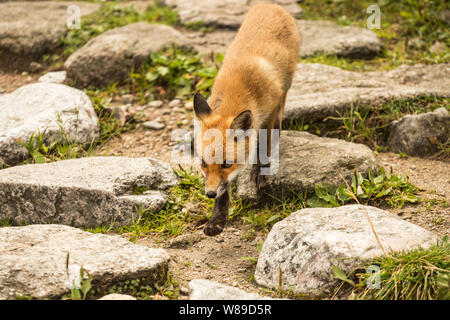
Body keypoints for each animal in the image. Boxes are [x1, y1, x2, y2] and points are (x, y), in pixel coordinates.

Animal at [192, 3, 298, 236]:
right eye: (203, 164)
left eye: (227, 164)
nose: (209, 194)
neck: (238, 90)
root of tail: (271, 5)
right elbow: (225, 190)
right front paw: (217, 218)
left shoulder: (269, 109)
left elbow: (264, 142)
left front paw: (261, 170)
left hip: (287, 82)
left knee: (281, 112)